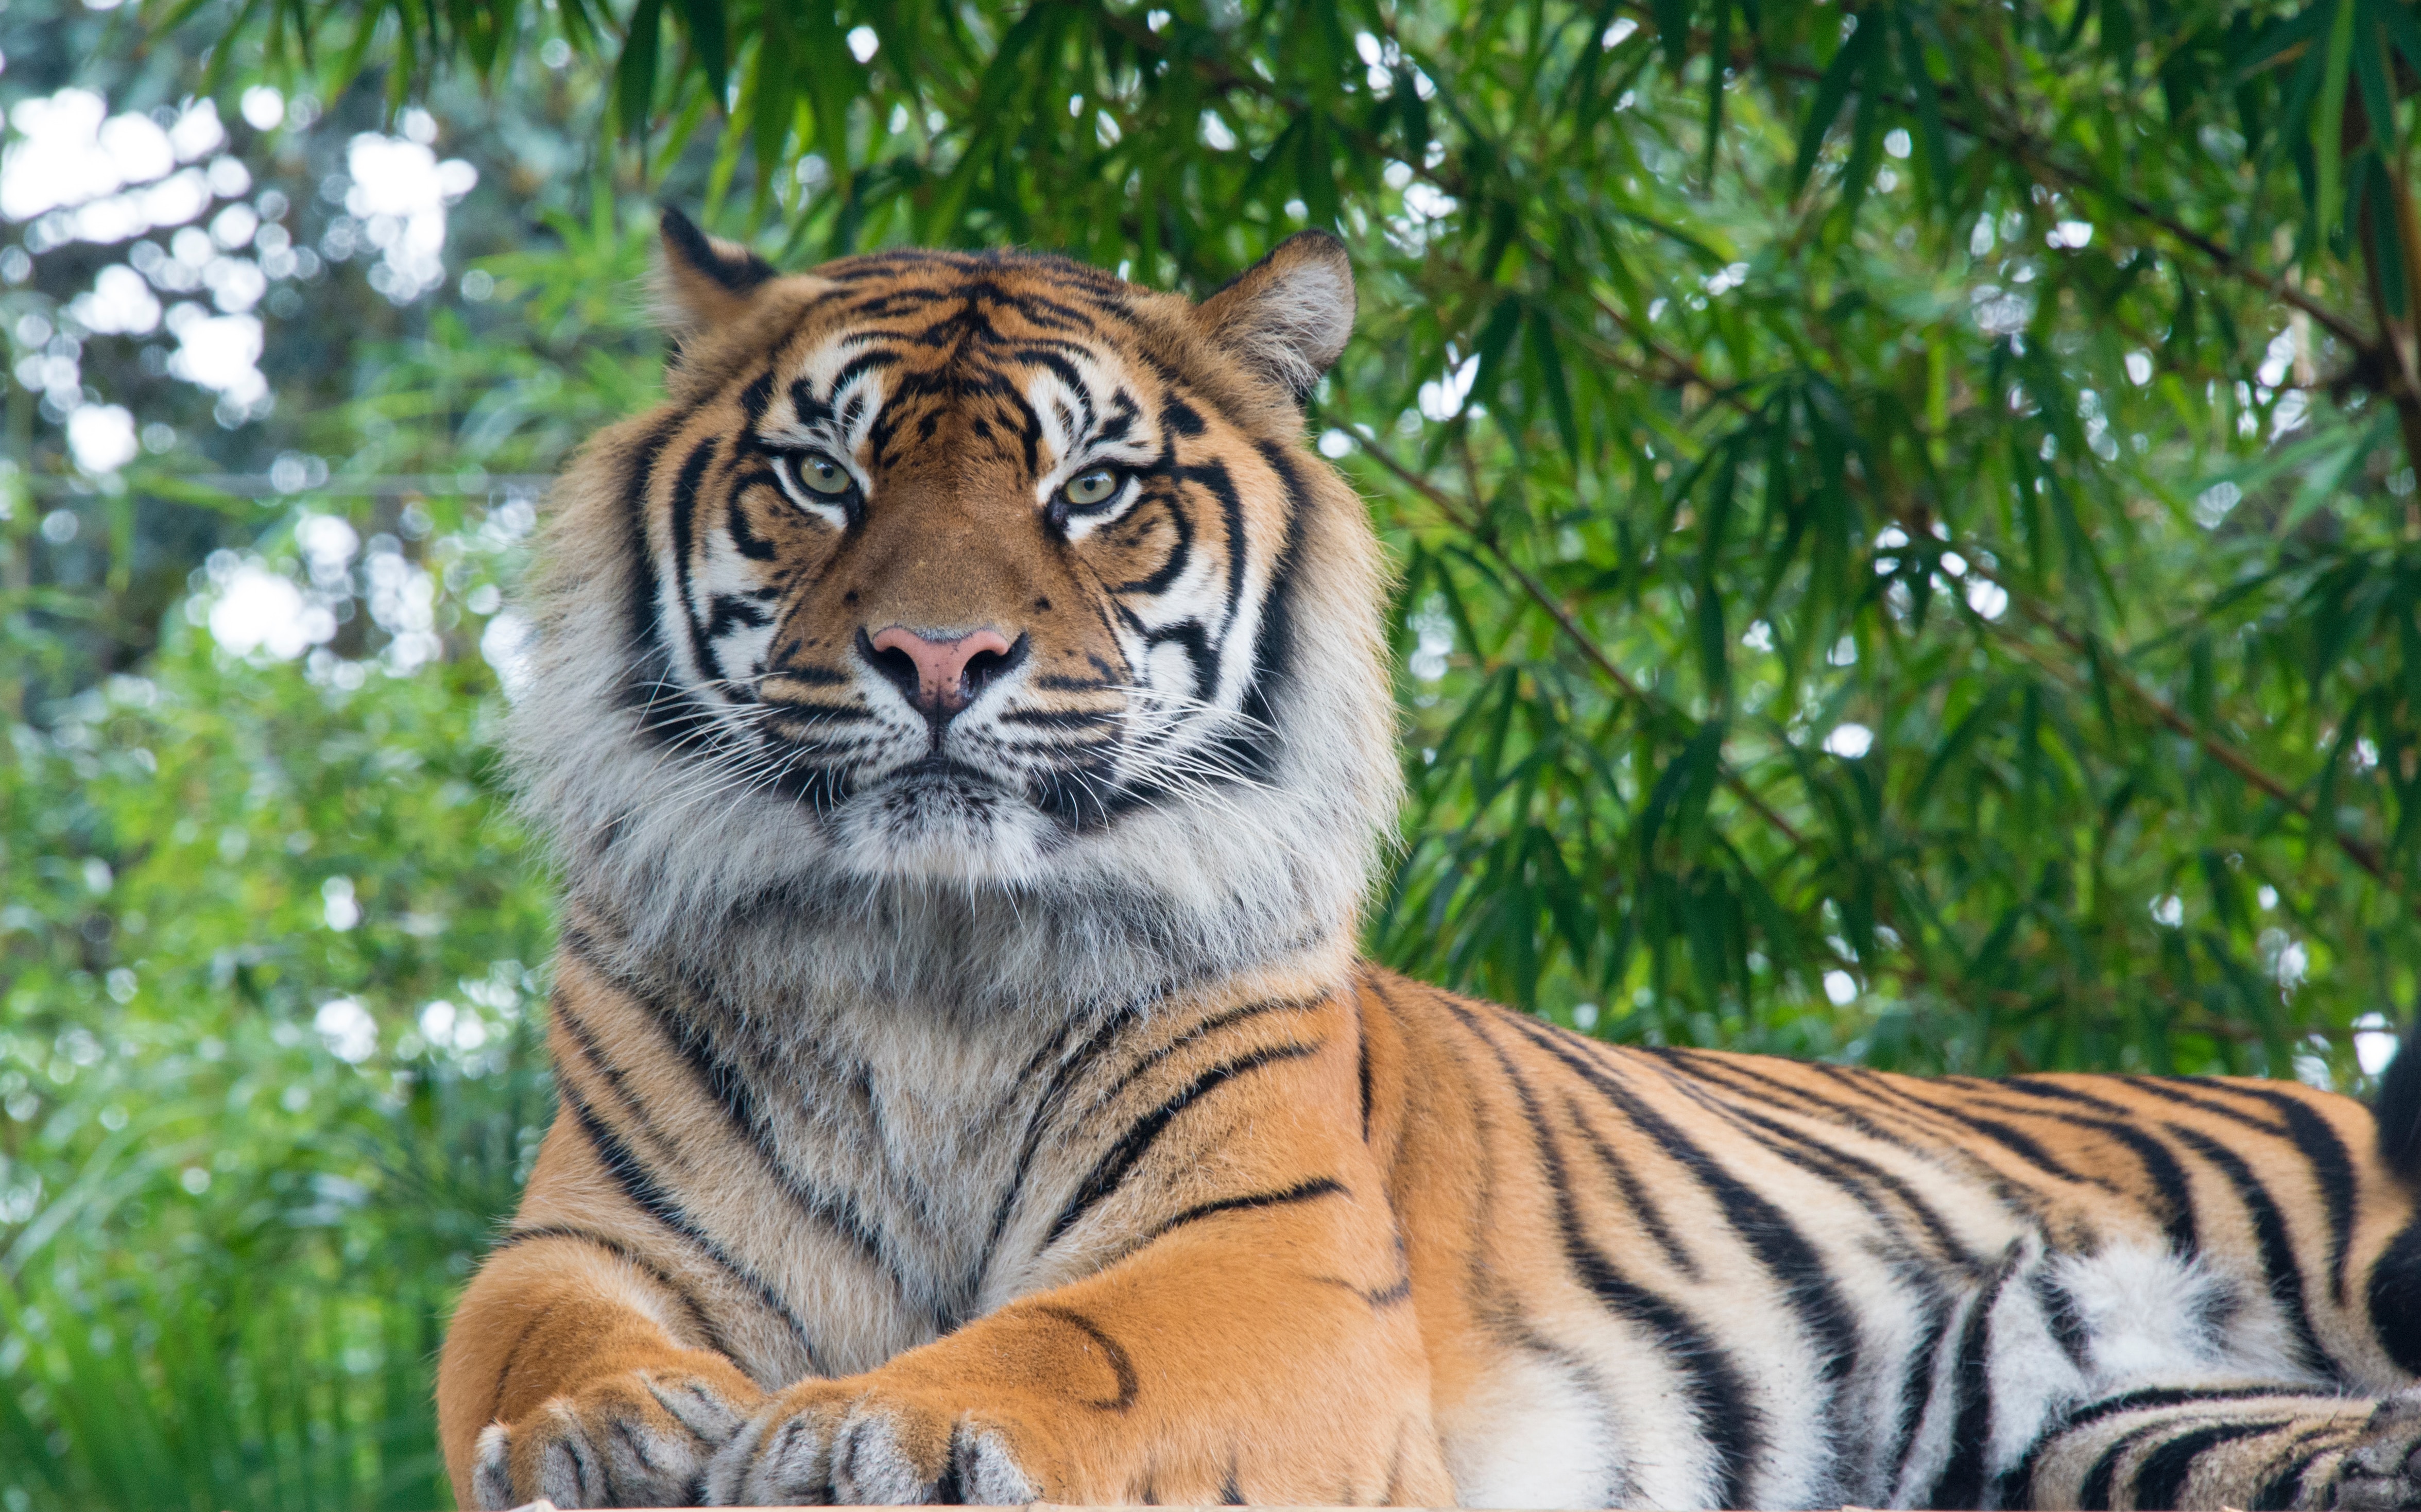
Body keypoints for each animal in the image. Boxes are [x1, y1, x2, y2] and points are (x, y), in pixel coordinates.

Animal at [440, 209, 2421, 1509]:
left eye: (1092, 490)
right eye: (822, 476)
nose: (939, 658)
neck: (930, 952)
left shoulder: (1262, 1254)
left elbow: (1065, 1342)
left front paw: (873, 1431)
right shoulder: (583, 1236)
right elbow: (527, 1343)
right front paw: (608, 1435)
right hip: (2123, 1436)